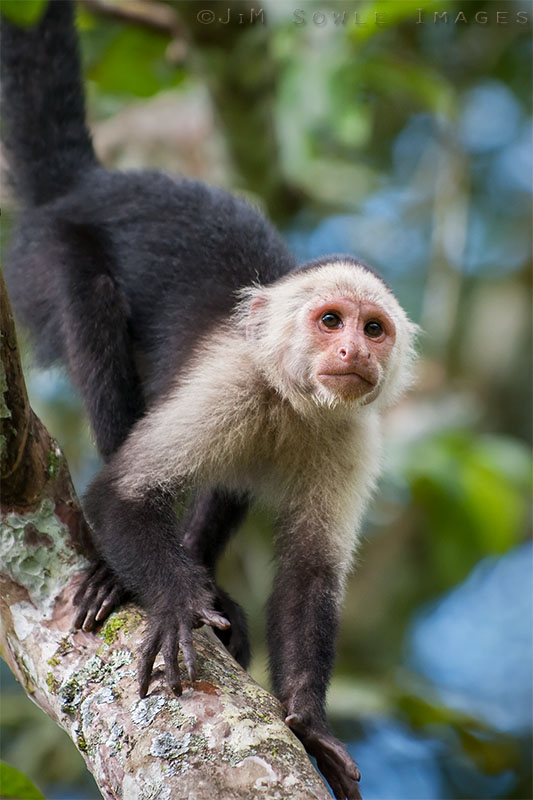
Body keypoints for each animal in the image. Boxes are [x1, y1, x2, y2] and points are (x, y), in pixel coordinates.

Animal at [0, 3, 418, 796]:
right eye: (330, 321)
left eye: (373, 329)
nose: (353, 352)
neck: (292, 399)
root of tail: (94, 185)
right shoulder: (230, 378)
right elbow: (124, 493)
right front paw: (177, 602)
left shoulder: (353, 437)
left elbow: (309, 576)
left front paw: (309, 721)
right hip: (41, 255)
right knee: (91, 299)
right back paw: (128, 571)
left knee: (231, 482)